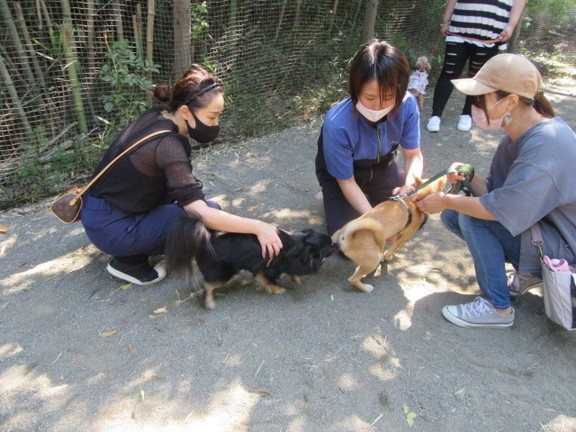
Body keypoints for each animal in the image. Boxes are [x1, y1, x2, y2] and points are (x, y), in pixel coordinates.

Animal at [164, 213, 332, 308]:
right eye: (329, 247)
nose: (335, 245)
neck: (299, 247)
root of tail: (206, 242)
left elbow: (292, 272)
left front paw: (295, 278)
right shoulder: (265, 270)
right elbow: (270, 282)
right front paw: (277, 290)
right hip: (223, 274)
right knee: (208, 285)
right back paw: (209, 302)